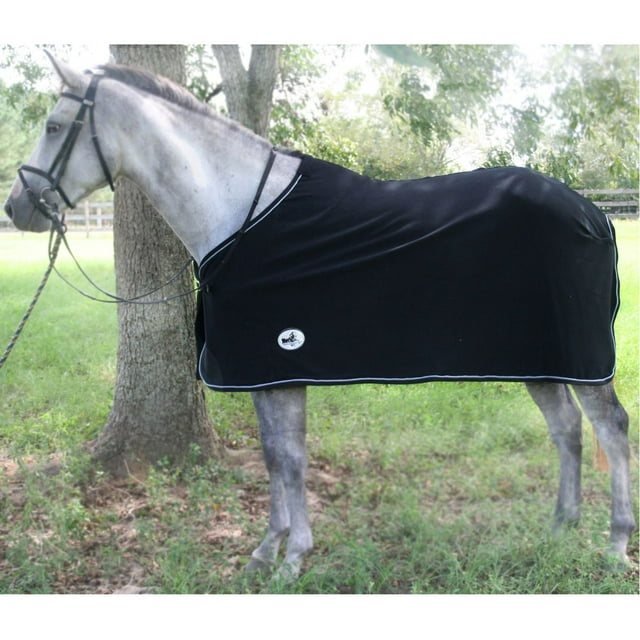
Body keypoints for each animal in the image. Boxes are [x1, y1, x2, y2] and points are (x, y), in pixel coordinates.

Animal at [4, 55, 635, 580]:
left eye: (54, 126)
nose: (17, 207)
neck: (241, 213)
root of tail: (594, 213)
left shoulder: (280, 365)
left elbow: (290, 460)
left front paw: (292, 559)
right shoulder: (265, 372)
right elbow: (275, 457)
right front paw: (267, 551)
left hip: (583, 360)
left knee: (610, 426)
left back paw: (614, 544)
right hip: (539, 357)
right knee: (566, 429)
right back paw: (559, 529)